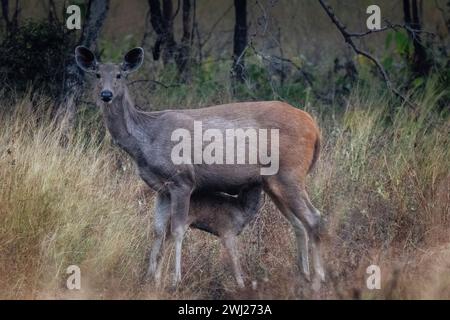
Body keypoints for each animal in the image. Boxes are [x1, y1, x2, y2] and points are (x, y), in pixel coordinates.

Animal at [75, 46, 326, 288]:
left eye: (120, 74)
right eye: (97, 74)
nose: (106, 95)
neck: (145, 139)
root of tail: (314, 127)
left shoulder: (182, 180)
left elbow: (177, 230)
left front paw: (174, 280)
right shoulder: (161, 189)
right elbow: (157, 230)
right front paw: (150, 279)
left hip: (289, 173)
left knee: (314, 218)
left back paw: (318, 279)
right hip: (272, 182)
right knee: (298, 223)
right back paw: (303, 275)